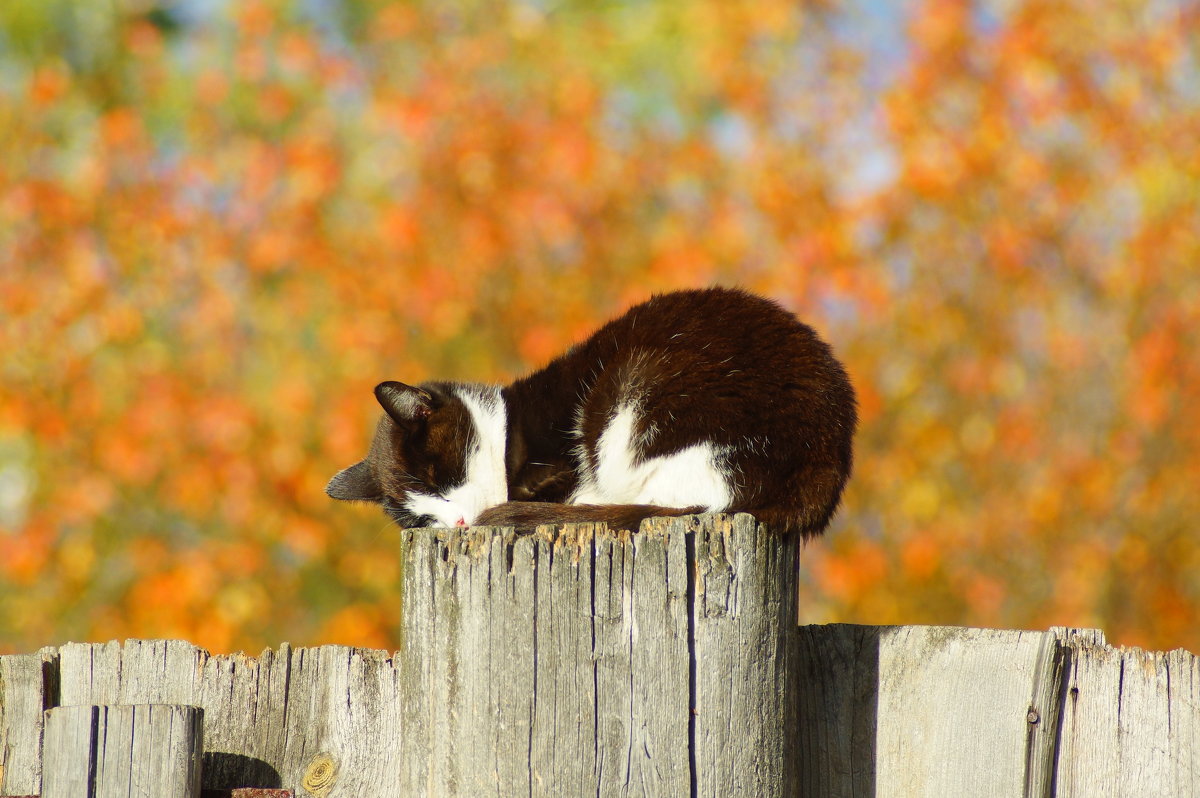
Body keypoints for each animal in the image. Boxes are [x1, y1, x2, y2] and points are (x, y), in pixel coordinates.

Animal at [324, 284, 859, 535]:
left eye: (440, 479)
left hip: (640, 384)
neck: (508, 430)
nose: (453, 523)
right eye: (420, 518)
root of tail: (825, 464)